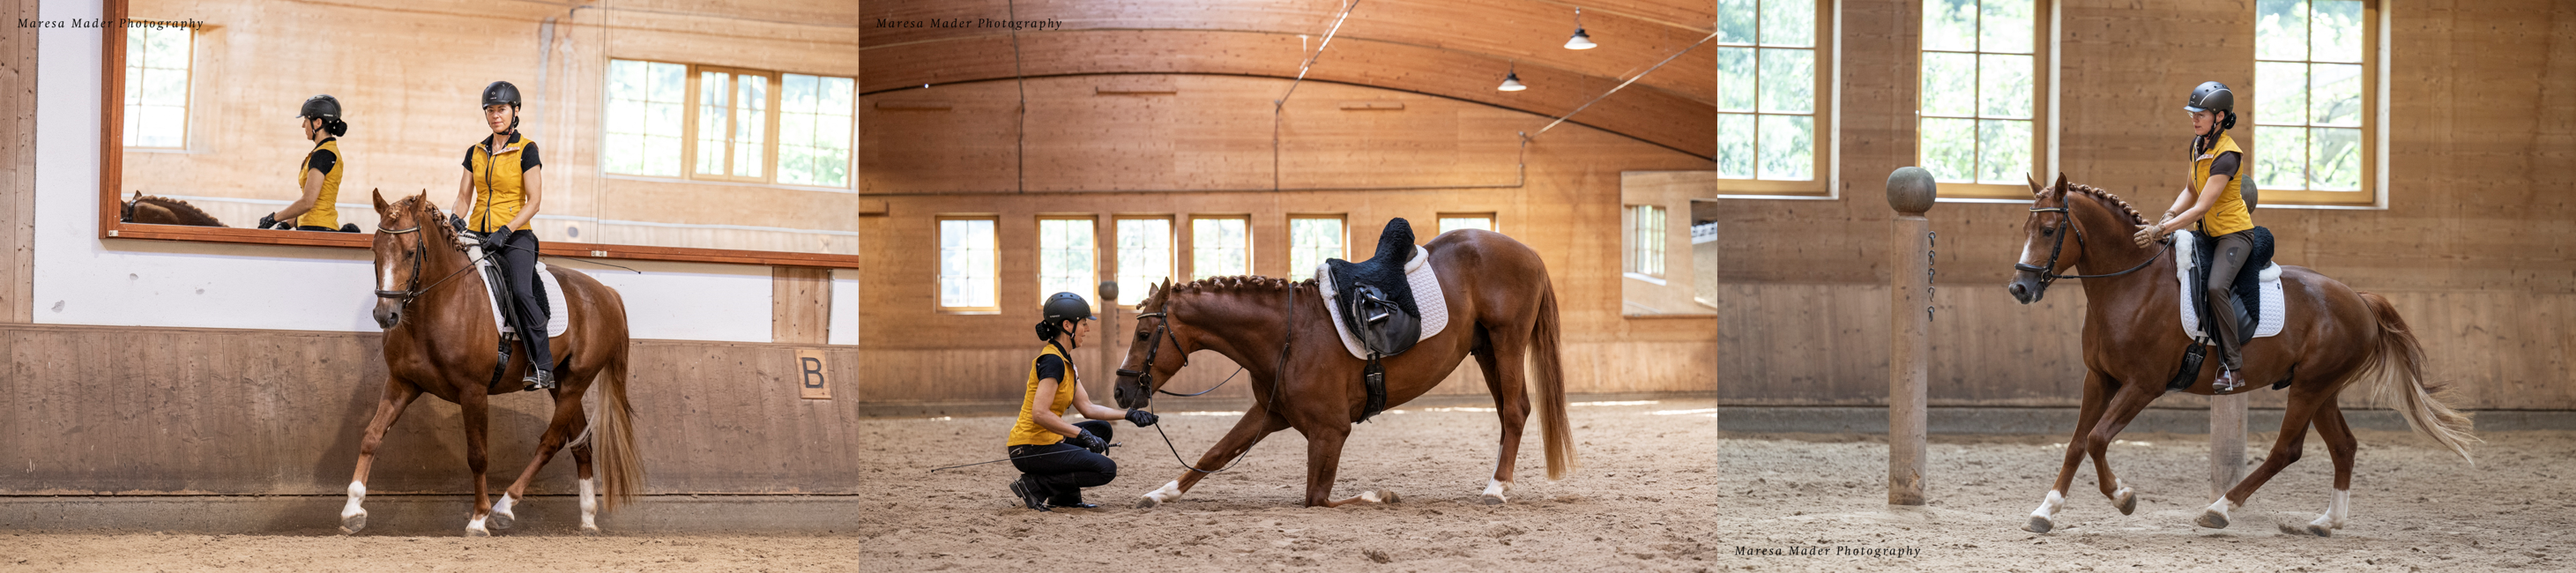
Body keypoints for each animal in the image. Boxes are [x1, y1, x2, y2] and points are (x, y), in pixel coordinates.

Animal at [1107, 228, 1566, 505]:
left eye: (1144, 335)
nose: (1121, 391)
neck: (1288, 335)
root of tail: (1528, 252)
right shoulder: (1270, 413)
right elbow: (1216, 453)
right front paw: (1161, 493)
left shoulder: (1330, 431)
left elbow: (1318, 497)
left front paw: (1380, 496)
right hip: (1486, 350)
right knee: (1508, 414)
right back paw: (1500, 480)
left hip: (1507, 343)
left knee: (1515, 411)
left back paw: (1496, 488)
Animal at [2009, 175, 2473, 537]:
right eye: (2026, 227)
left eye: (2048, 230)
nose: (2019, 289)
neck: (2131, 284)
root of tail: (2359, 298)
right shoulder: (2099, 378)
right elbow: (2076, 443)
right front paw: (2045, 512)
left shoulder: (2143, 385)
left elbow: (2097, 438)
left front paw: (2124, 497)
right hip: (2323, 389)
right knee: (2344, 446)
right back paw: (2327, 522)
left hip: (2310, 387)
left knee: (2287, 450)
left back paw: (2220, 510)